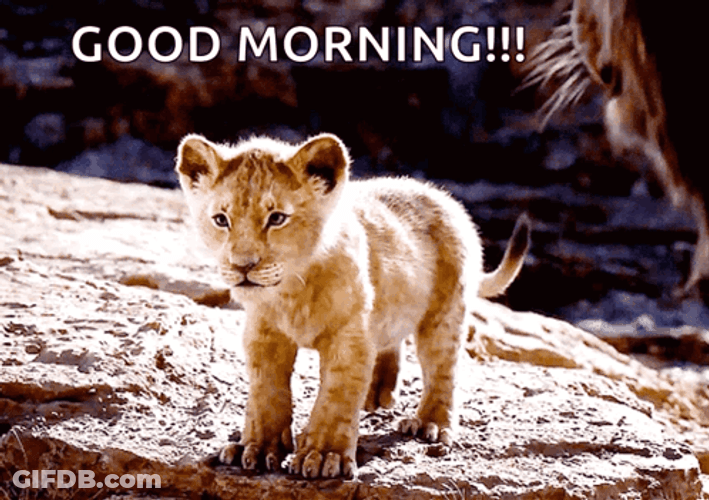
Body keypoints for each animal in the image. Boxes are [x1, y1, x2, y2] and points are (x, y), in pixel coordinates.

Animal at [175, 132, 530, 478]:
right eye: (221, 219)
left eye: (276, 218)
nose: (242, 266)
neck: (291, 291)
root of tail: (445, 198)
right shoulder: (265, 333)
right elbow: (266, 393)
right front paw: (258, 449)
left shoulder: (349, 336)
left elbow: (336, 396)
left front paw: (321, 456)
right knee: (390, 338)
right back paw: (377, 394)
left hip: (445, 311)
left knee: (441, 367)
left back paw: (430, 423)